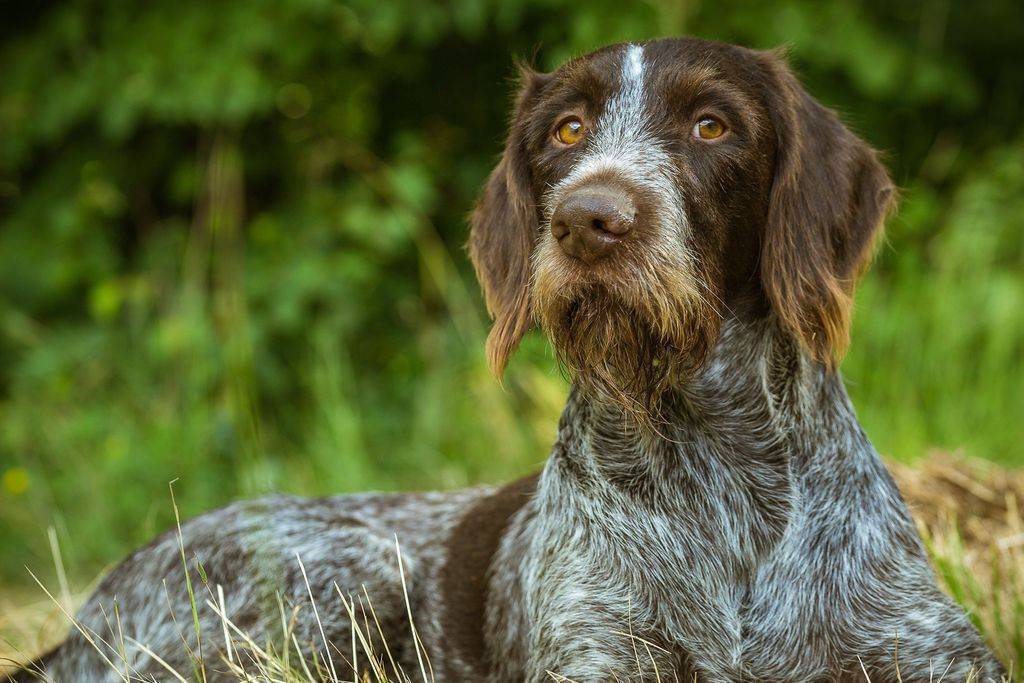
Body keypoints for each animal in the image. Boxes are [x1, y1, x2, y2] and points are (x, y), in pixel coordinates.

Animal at [14, 37, 1007, 683]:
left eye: (712, 126)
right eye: (565, 131)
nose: (589, 219)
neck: (718, 459)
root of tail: (83, 617)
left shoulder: (938, 655)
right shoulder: (599, 659)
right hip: (336, 581)